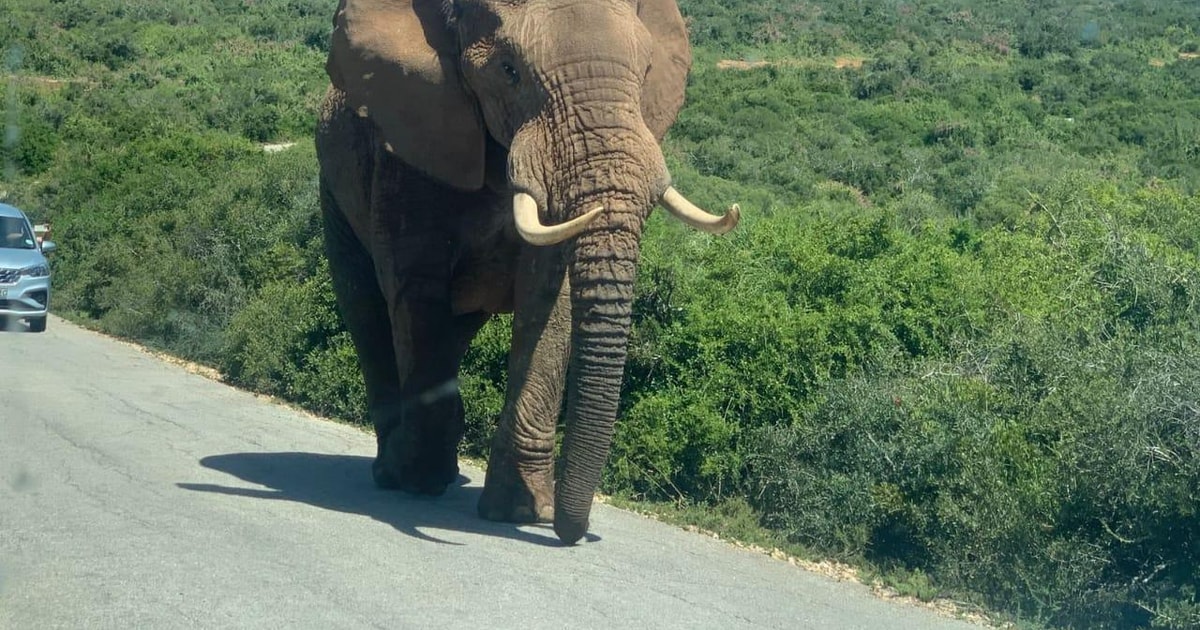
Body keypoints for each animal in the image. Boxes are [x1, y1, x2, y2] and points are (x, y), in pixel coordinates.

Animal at [315, 0, 738, 545]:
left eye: (645, 72)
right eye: (508, 71)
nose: (573, 533)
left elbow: (547, 302)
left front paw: (521, 511)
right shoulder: (407, 149)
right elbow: (416, 291)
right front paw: (421, 483)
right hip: (334, 191)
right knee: (367, 311)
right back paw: (396, 472)